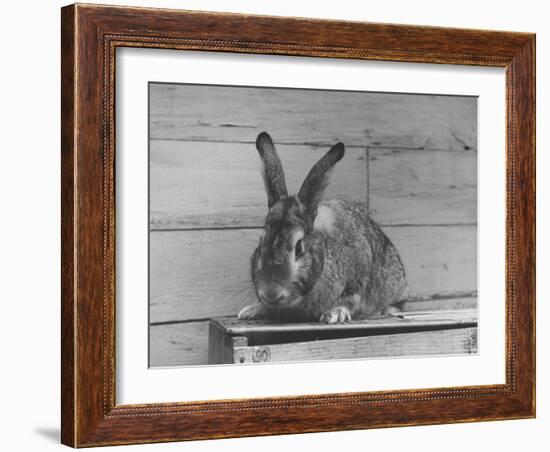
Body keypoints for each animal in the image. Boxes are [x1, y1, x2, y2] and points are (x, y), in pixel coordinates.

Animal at [238, 132, 410, 324]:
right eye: (261, 243)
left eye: (299, 247)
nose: (271, 294)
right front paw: (251, 310)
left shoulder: (355, 284)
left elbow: (349, 301)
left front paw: (335, 314)